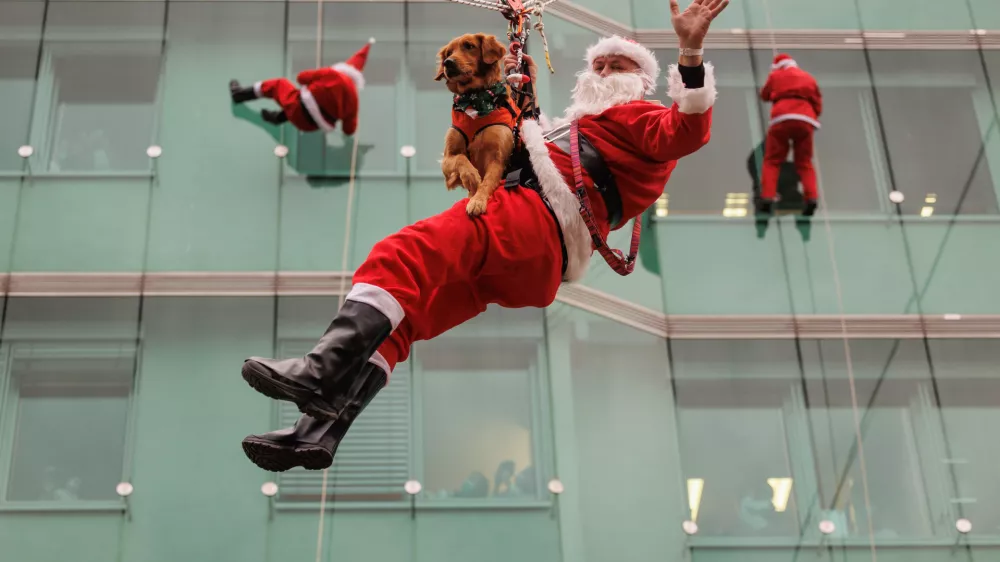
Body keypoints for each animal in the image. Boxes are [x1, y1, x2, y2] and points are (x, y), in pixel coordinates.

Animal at [436, 32, 520, 215]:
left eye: (469, 46)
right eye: (448, 53)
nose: (448, 62)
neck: (474, 99)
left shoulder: (497, 159)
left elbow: (487, 182)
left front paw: (478, 201)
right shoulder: (447, 159)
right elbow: (460, 158)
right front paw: (472, 177)